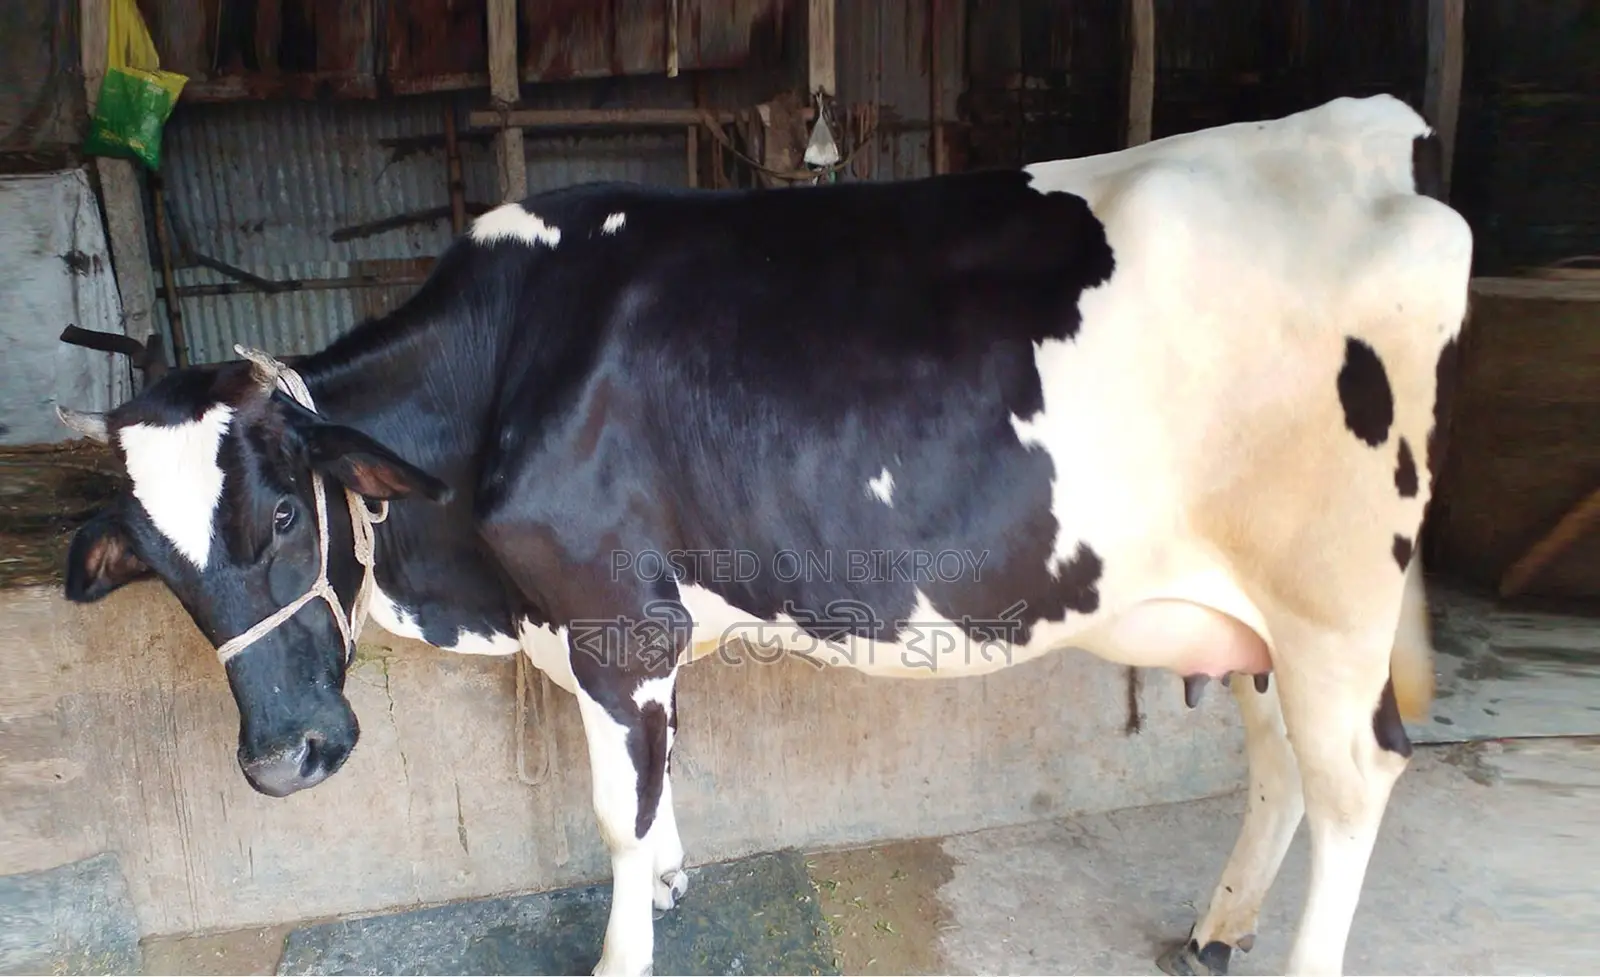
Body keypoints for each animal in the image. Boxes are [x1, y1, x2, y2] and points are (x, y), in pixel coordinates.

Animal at [56, 93, 1468, 977]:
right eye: (160, 571)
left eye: (284, 509)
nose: (283, 761)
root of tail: (1361, 140)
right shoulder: (625, 630)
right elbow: (658, 784)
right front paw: (672, 881)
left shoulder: (618, 617)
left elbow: (617, 810)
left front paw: (624, 944)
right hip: (1247, 611)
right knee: (1277, 762)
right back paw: (1216, 928)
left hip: (1332, 598)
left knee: (1355, 778)